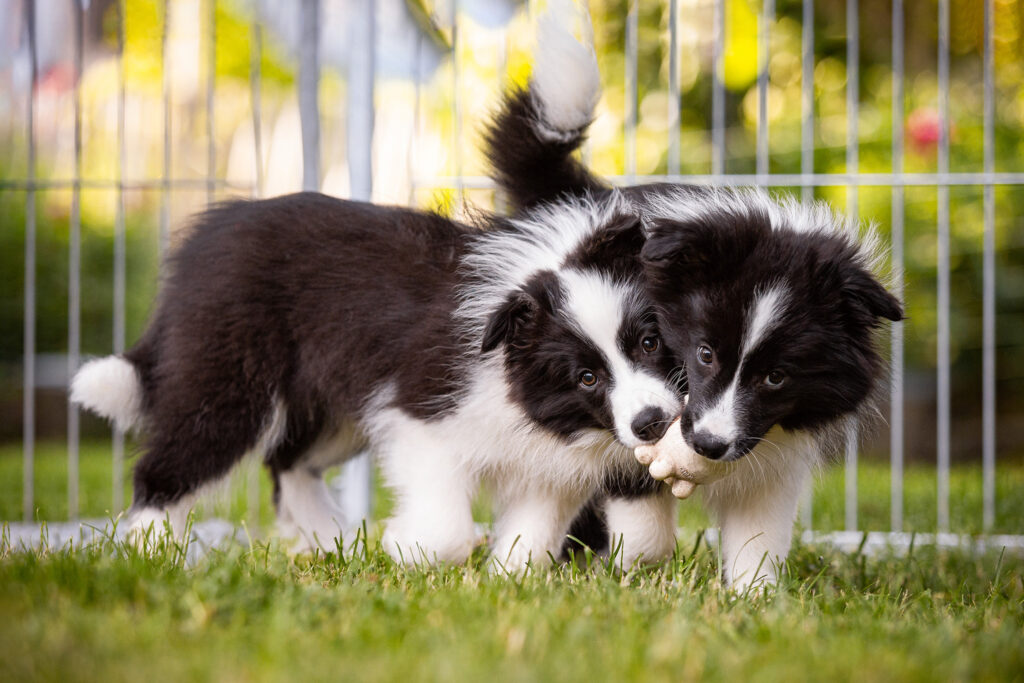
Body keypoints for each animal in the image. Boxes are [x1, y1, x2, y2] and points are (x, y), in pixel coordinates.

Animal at [70, 193, 679, 573]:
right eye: (587, 376)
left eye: (649, 343)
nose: (653, 424)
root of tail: (200, 245)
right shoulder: (419, 415)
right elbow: (448, 528)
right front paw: (408, 549)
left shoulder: (547, 455)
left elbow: (537, 530)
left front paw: (508, 579)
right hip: (230, 380)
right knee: (171, 464)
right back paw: (148, 551)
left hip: (334, 409)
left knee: (288, 462)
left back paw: (330, 541)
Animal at [483, 7, 901, 589]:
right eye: (704, 354)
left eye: (777, 377)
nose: (707, 445)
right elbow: (639, 510)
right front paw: (632, 569)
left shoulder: (776, 445)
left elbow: (759, 529)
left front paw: (754, 595)